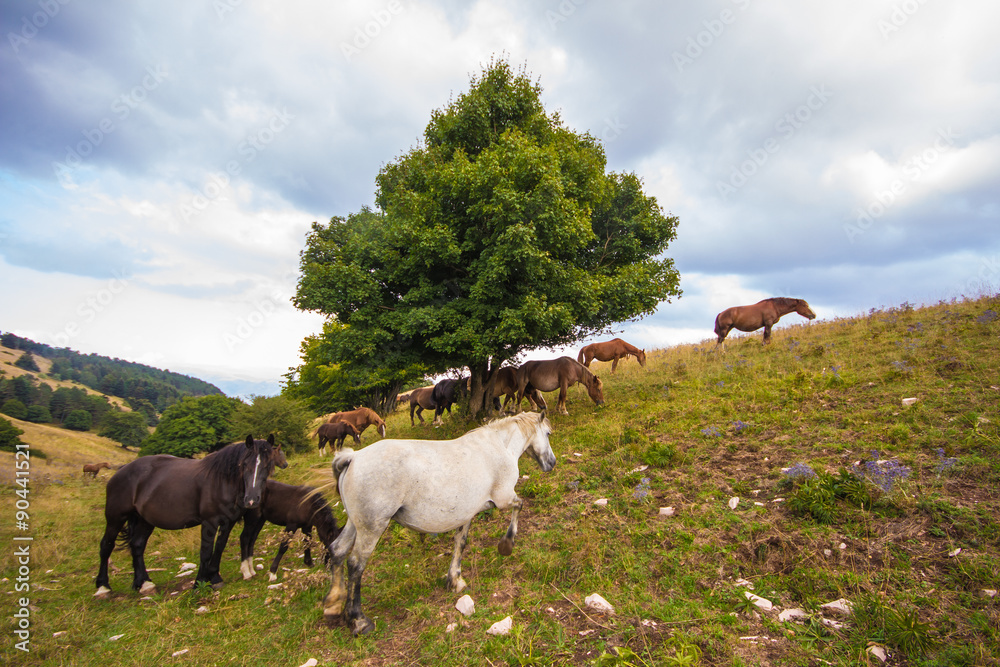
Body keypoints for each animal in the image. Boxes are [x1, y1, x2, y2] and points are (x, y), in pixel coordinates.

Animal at [95, 436, 286, 596]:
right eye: (244, 464)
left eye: (267, 465)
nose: (252, 500)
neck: (222, 480)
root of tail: (122, 470)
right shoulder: (209, 522)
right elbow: (206, 551)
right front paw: (199, 583)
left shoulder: (227, 522)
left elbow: (220, 547)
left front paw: (215, 578)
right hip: (115, 518)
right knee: (106, 545)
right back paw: (103, 587)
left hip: (144, 520)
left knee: (137, 546)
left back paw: (144, 583)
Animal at [320, 412, 556, 636]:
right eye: (547, 433)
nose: (552, 463)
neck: (499, 445)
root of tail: (353, 457)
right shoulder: (504, 498)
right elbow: (519, 506)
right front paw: (506, 545)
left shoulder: (466, 513)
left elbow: (460, 543)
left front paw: (454, 580)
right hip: (371, 527)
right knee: (355, 564)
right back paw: (358, 620)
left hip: (355, 524)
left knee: (338, 550)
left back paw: (333, 604)